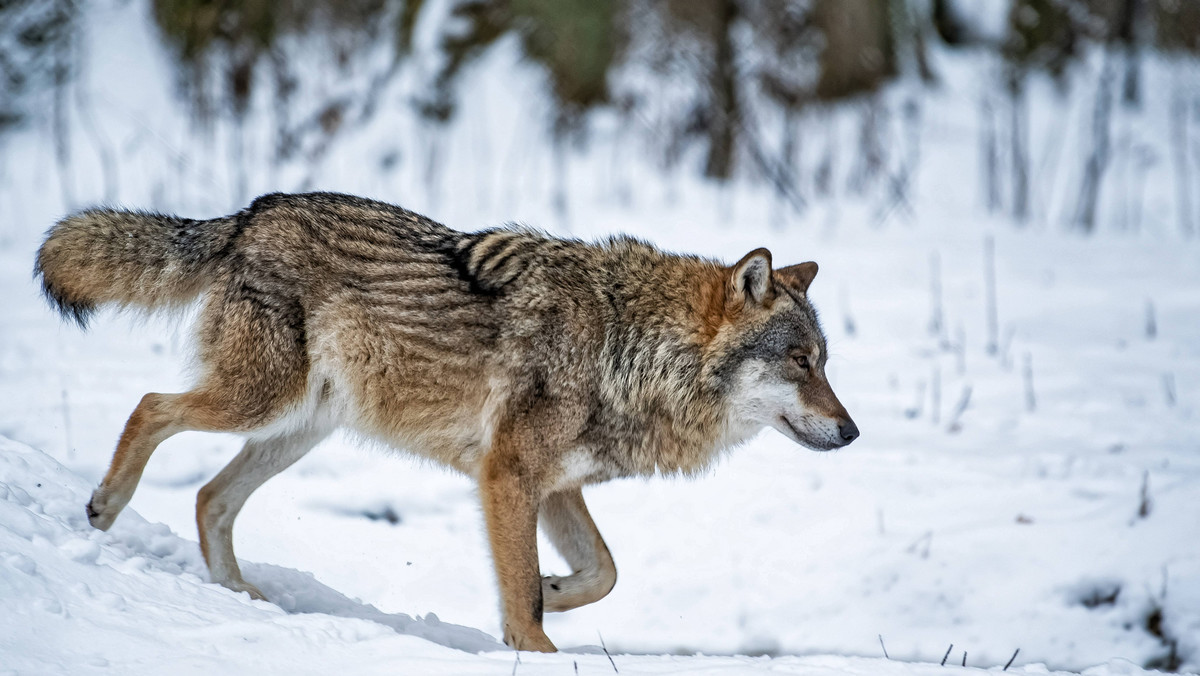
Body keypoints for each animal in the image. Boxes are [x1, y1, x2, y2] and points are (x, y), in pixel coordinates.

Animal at [32, 189, 859, 648]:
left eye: (825, 361)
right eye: (801, 362)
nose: (853, 433)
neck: (630, 348)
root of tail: (251, 214)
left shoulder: (553, 487)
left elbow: (603, 572)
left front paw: (554, 588)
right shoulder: (508, 476)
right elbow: (527, 596)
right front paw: (533, 639)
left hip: (297, 429)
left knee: (210, 497)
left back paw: (244, 601)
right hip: (259, 401)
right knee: (151, 408)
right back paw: (104, 509)